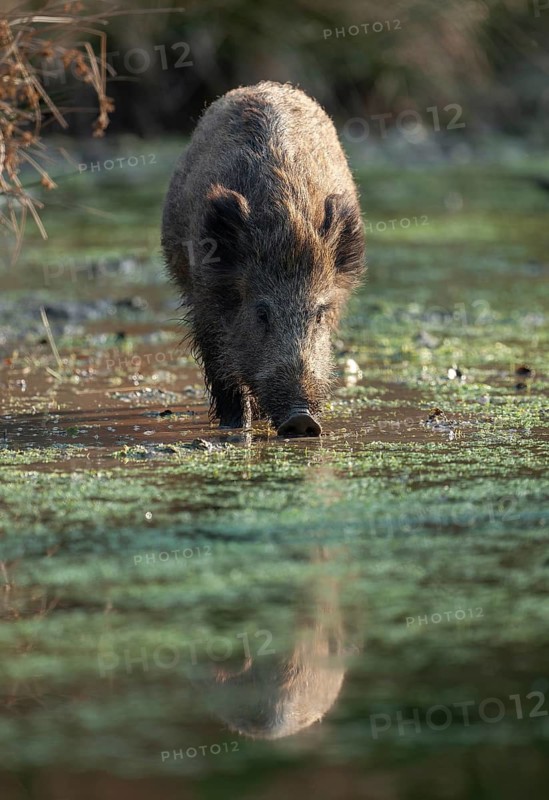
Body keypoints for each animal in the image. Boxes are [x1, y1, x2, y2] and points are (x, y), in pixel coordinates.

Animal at [161, 81, 365, 436]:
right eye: (261, 313)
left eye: (319, 315)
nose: (302, 420)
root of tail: (262, 86)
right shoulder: (205, 298)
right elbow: (220, 363)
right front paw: (235, 427)